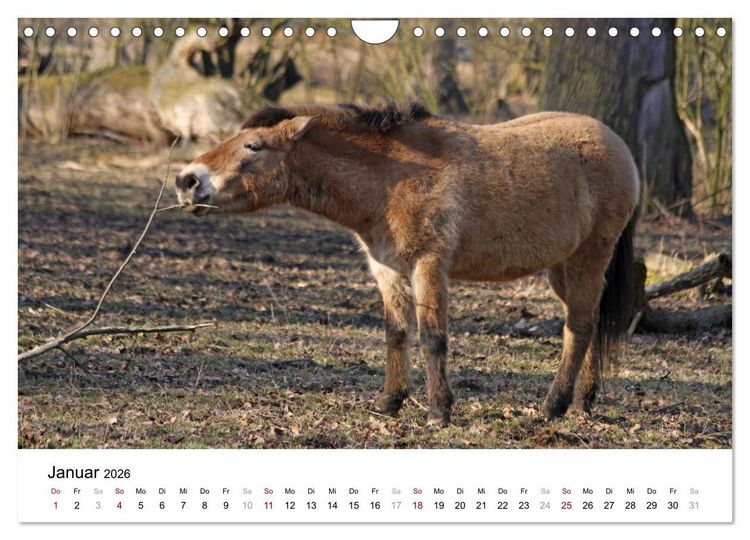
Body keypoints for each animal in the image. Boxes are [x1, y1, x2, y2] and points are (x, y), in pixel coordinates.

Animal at [175, 102, 639, 427]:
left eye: (253, 146)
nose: (187, 181)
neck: (391, 178)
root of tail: (619, 146)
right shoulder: (387, 269)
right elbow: (396, 333)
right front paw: (389, 402)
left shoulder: (428, 266)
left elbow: (433, 337)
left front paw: (438, 411)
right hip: (564, 267)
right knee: (590, 322)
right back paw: (582, 402)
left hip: (588, 258)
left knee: (579, 327)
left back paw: (554, 404)